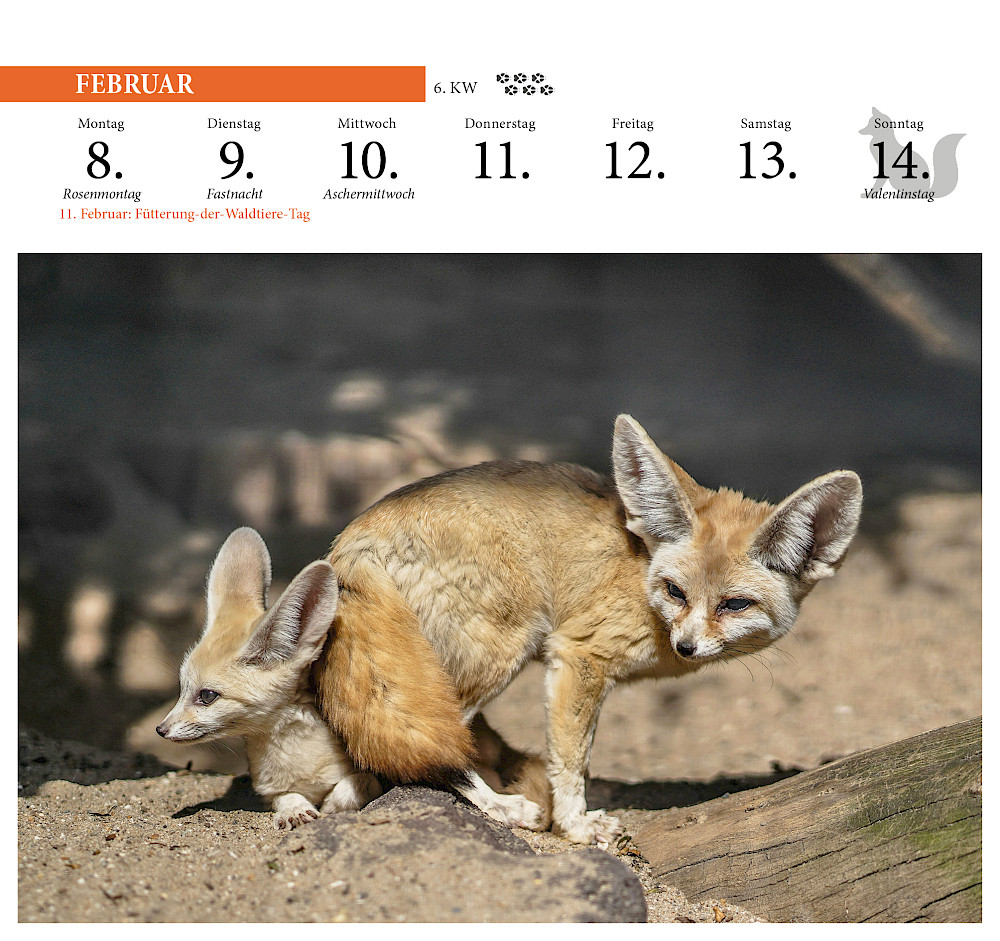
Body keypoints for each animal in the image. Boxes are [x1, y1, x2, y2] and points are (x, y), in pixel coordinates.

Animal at [156, 527, 382, 829]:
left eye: (207, 696)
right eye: (182, 688)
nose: (161, 729)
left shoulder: (375, 774)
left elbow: (356, 785)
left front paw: (332, 804)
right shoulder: (271, 790)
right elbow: (286, 796)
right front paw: (295, 809)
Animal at [313, 415, 863, 844]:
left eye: (734, 604)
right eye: (676, 592)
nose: (686, 647)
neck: (640, 575)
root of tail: (352, 536)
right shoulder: (578, 657)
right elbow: (571, 760)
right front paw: (575, 827)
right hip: (500, 651)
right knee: (421, 743)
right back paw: (494, 805)